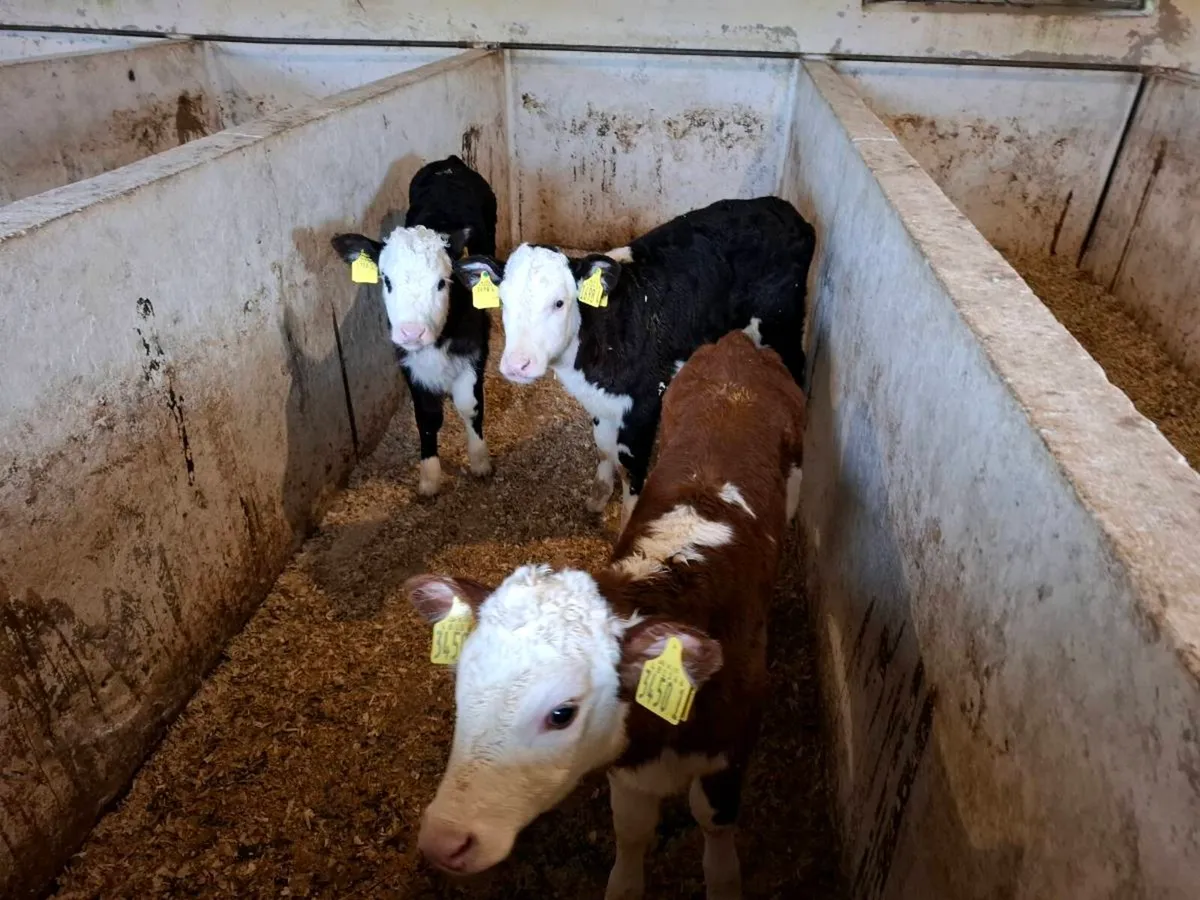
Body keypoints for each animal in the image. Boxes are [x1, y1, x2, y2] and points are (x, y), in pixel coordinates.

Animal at [332, 155, 496, 497]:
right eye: (386, 280)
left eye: (442, 282)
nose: (411, 332)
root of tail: (450, 162)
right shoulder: (407, 359)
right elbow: (427, 416)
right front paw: (430, 477)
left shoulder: (475, 350)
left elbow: (469, 405)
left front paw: (479, 460)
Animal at [404, 330, 807, 900]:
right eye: (462, 688)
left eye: (562, 714)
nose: (444, 840)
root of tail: (735, 345)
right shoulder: (629, 765)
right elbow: (632, 831)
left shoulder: (732, 749)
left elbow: (714, 829)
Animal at [452, 196, 814, 529]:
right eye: (502, 301)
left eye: (559, 303)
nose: (518, 364)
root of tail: (780, 206)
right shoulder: (600, 399)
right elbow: (603, 446)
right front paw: (599, 494)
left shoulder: (643, 404)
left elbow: (630, 465)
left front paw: (627, 520)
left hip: (780, 325)